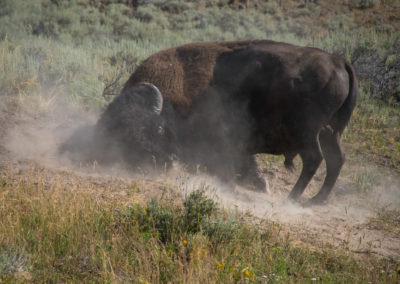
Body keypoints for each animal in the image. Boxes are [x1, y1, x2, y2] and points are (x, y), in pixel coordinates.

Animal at [87, 39, 360, 204]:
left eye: (160, 128)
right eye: (125, 141)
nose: (166, 163)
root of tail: (338, 61)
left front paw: (254, 184)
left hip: (308, 134)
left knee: (315, 160)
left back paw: (292, 199)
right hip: (330, 133)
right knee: (336, 160)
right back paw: (316, 200)